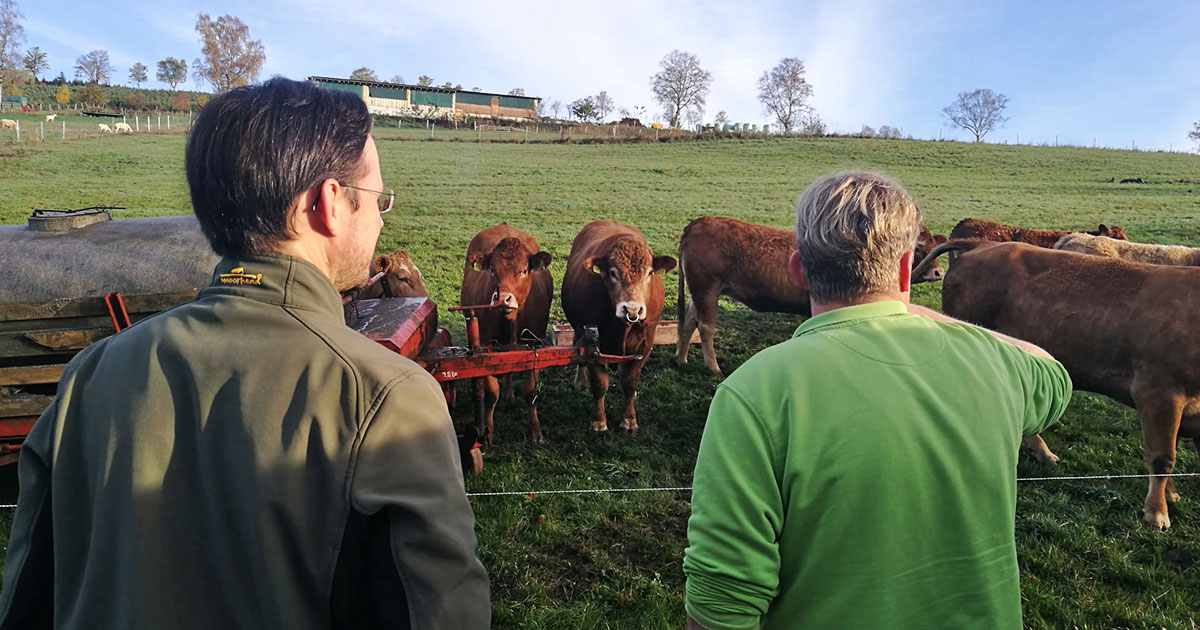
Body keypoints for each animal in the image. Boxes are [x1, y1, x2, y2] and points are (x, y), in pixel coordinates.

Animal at [458, 223, 552, 444]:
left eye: (524, 270)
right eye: (492, 269)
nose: (503, 298)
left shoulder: (534, 346)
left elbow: (531, 391)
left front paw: (535, 431)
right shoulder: (485, 347)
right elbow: (491, 393)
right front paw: (487, 431)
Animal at [559, 219, 676, 432]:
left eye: (650, 272)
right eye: (612, 272)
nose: (632, 309)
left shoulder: (645, 343)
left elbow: (630, 382)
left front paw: (629, 420)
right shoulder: (592, 343)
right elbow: (599, 384)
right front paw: (598, 420)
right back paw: (580, 381)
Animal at [676, 213, 945, 376]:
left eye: (935, 247)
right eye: (919, 250)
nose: (939, 272)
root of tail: (700, 221)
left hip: (700, 291)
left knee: (689, 320)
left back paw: (682, 358)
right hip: (707, 287)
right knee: (706, 326)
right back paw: (713, 367)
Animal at [912, 238, 1200, 528]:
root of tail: (981, 244)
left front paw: (1170, 495)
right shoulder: (1157, 392)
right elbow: (1163, 457)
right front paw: (1156, 512)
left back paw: (1041, 451)